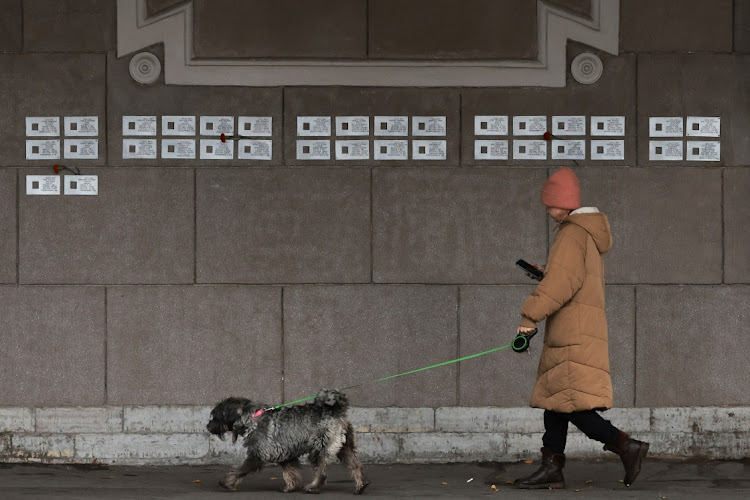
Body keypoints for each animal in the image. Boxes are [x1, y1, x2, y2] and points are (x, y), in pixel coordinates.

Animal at [206, 388, 370, 494]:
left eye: (216, 416)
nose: (208, 426)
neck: (252, 418)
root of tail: (336, 411)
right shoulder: (284, 454)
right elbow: (289, 472)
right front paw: (290, 487)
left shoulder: (257, 456)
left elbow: (240, 470)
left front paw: (227, 482)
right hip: (344, 448)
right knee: (356, 465)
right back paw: (360, 485)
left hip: (319, 449)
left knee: (321, 473)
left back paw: (313, 487)